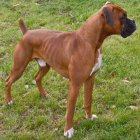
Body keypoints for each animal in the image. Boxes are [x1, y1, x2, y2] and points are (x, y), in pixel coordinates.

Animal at [5, 1, 136, 139]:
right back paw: (9, 101)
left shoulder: (90, 79)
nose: (134, 21)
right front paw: (68, 130)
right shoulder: (75, 84)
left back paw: (44, 94)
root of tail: (26, 32)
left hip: (45, 66)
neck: (89, 42)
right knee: (8, 81)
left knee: (36, 77)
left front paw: (89, 117)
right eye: (122, 17)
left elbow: (88, 101)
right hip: (19, 67)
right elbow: (70, 109)